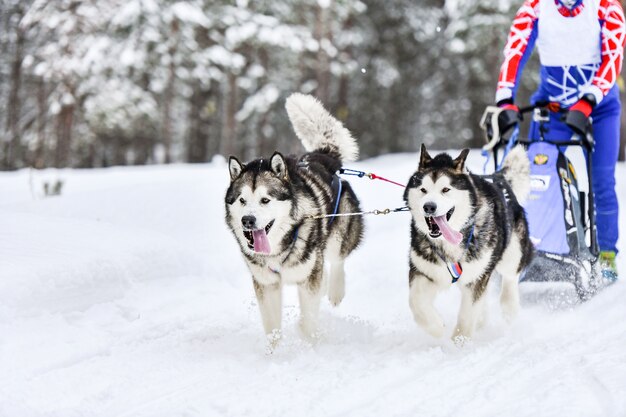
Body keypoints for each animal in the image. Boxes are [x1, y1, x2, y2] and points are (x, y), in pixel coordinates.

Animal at [224, 92, 360, 342]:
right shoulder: (267, 285)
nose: (247, 220)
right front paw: (274, 350)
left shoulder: (307, 281)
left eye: (265, 200)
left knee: (337, 258)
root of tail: (322, 156)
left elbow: (308, 323)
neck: (278, 251)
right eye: (242, 200)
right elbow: (272, 330)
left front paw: (308, 346)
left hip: (339, 233)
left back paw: (336, 290)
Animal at [404, 145, 532, 340]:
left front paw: (458, 343)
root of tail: (498, 178)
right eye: (423, 189)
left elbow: (467, 316)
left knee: (510, 277)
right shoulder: (423, 271)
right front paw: (436, 327)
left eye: (445, 189)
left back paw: (509, 307)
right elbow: (416, 302)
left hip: (511, 253)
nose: (429, 207)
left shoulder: (475, 279)